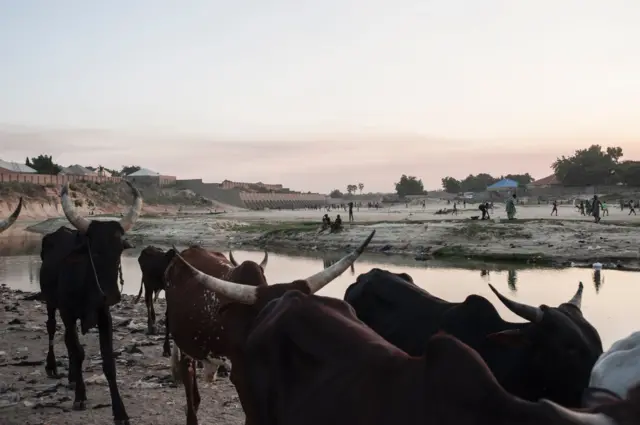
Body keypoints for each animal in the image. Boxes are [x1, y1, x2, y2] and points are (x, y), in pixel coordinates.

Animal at [39, 181, 142, 422]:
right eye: (93, 252)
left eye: (119, 251)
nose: (112, 295)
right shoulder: (67, 314)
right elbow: (78, 352)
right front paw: (80, 397)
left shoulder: (105, 316)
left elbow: (108, 362)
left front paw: (120, 411)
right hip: (51, 304)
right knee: (52, 329)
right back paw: (53, 367)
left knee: (67, 340)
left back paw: (71, 377)